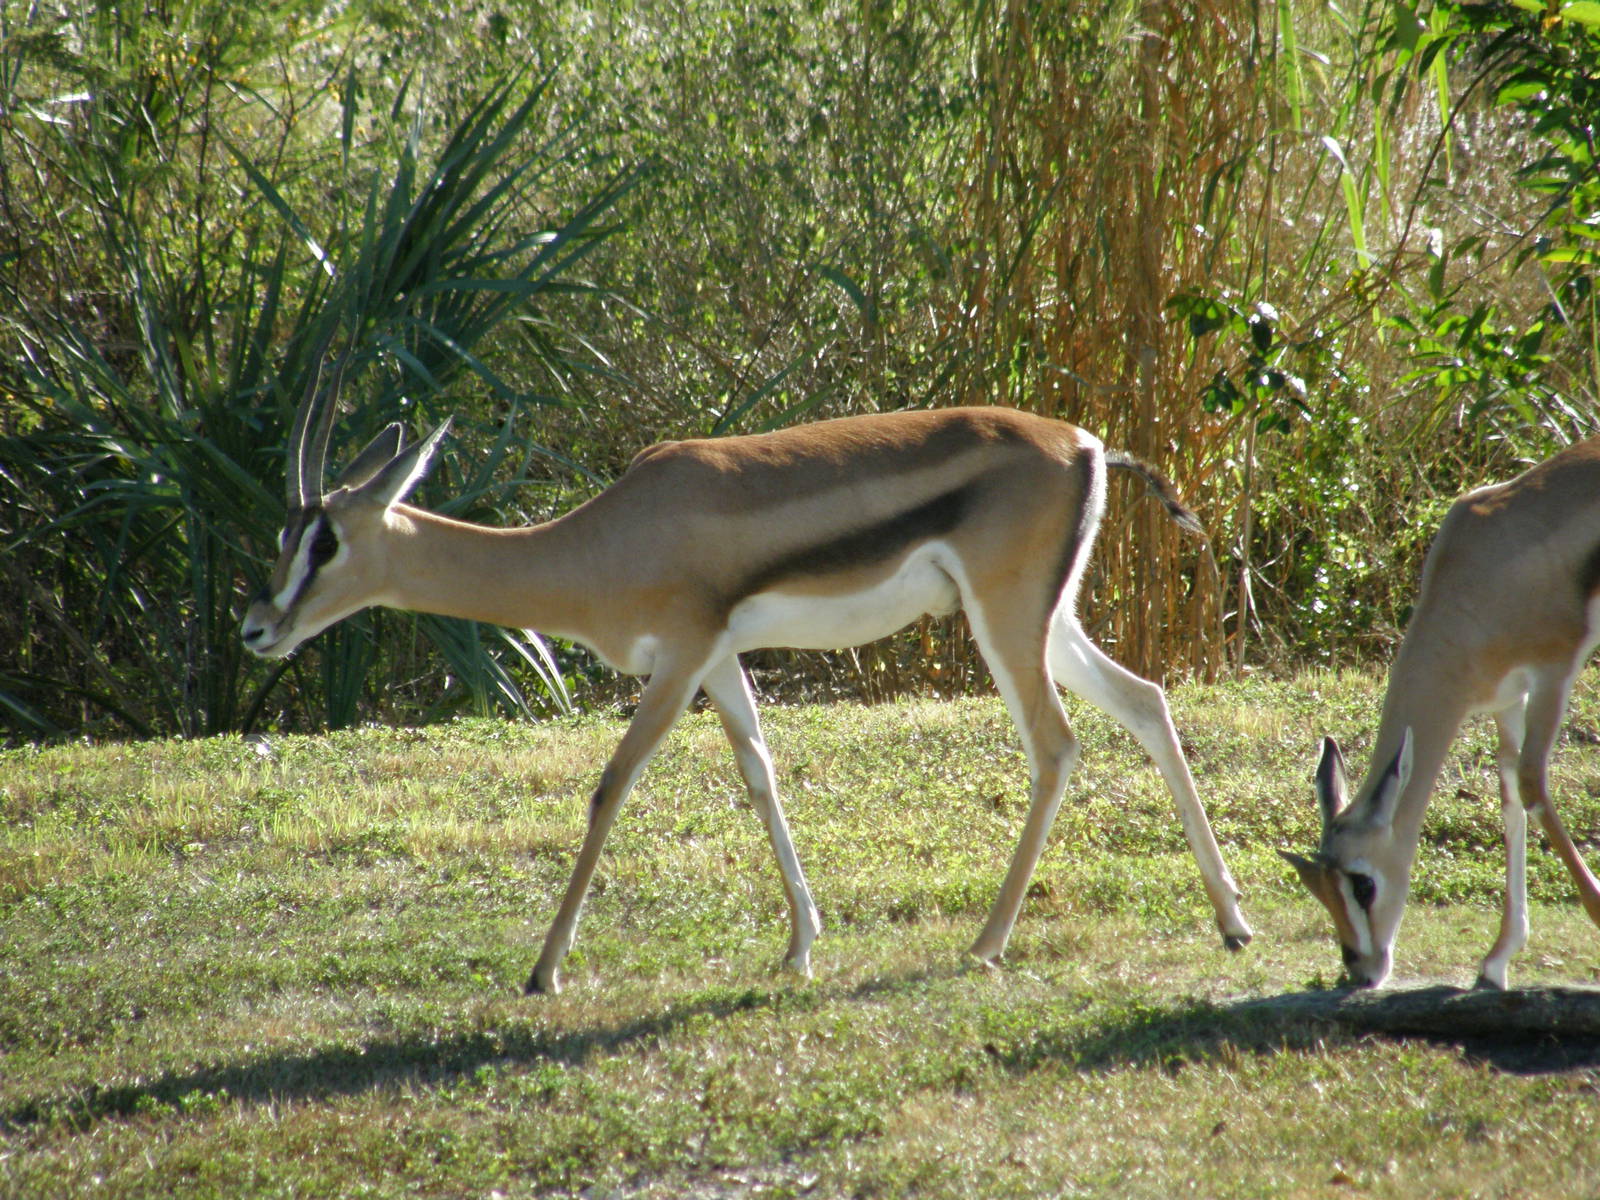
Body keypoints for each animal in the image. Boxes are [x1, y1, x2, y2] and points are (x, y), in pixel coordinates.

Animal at [242, 375, 1252, 994]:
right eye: (286, 535)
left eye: (323, 540)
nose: (256, 628)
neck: (603, 540)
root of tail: (1086, 442)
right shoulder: (720, 662)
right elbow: (761, 776)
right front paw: (801, 946)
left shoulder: (680, 659)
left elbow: (611, 787)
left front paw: (543, 971)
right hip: (1051, 620)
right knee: (1146, 703)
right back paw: (1233, 922)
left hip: (1003, 622)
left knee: (1056, 745)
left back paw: (985, 944)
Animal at [1284, 435, 1600, 989]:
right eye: (1320, 886)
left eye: (1363, 884)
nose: (1361, 970)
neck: (1478, 571)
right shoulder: (1507, 698)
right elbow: (1510, 799)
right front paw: (1495, 961)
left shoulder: (1553, 674)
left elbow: (1533, 784)